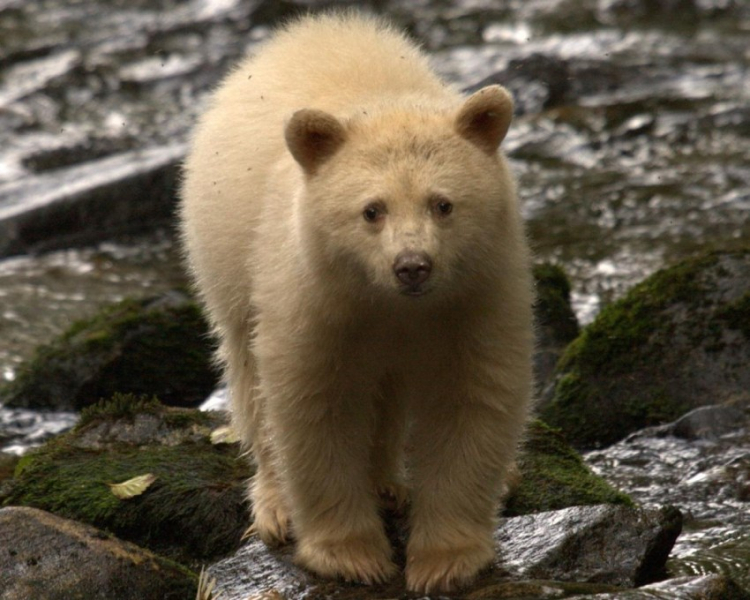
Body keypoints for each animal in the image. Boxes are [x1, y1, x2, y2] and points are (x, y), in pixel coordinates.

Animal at [181, 11, 536, 592]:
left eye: (443, 204)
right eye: (372, 209)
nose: (412, 265)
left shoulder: (477, 295)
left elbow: (472, 398)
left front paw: (444, 559)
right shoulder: (313, 297)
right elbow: (314, 406)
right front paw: (352, 555)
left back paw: (388, 483)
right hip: (228, 261)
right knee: (250, 376)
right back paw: (276, 504)